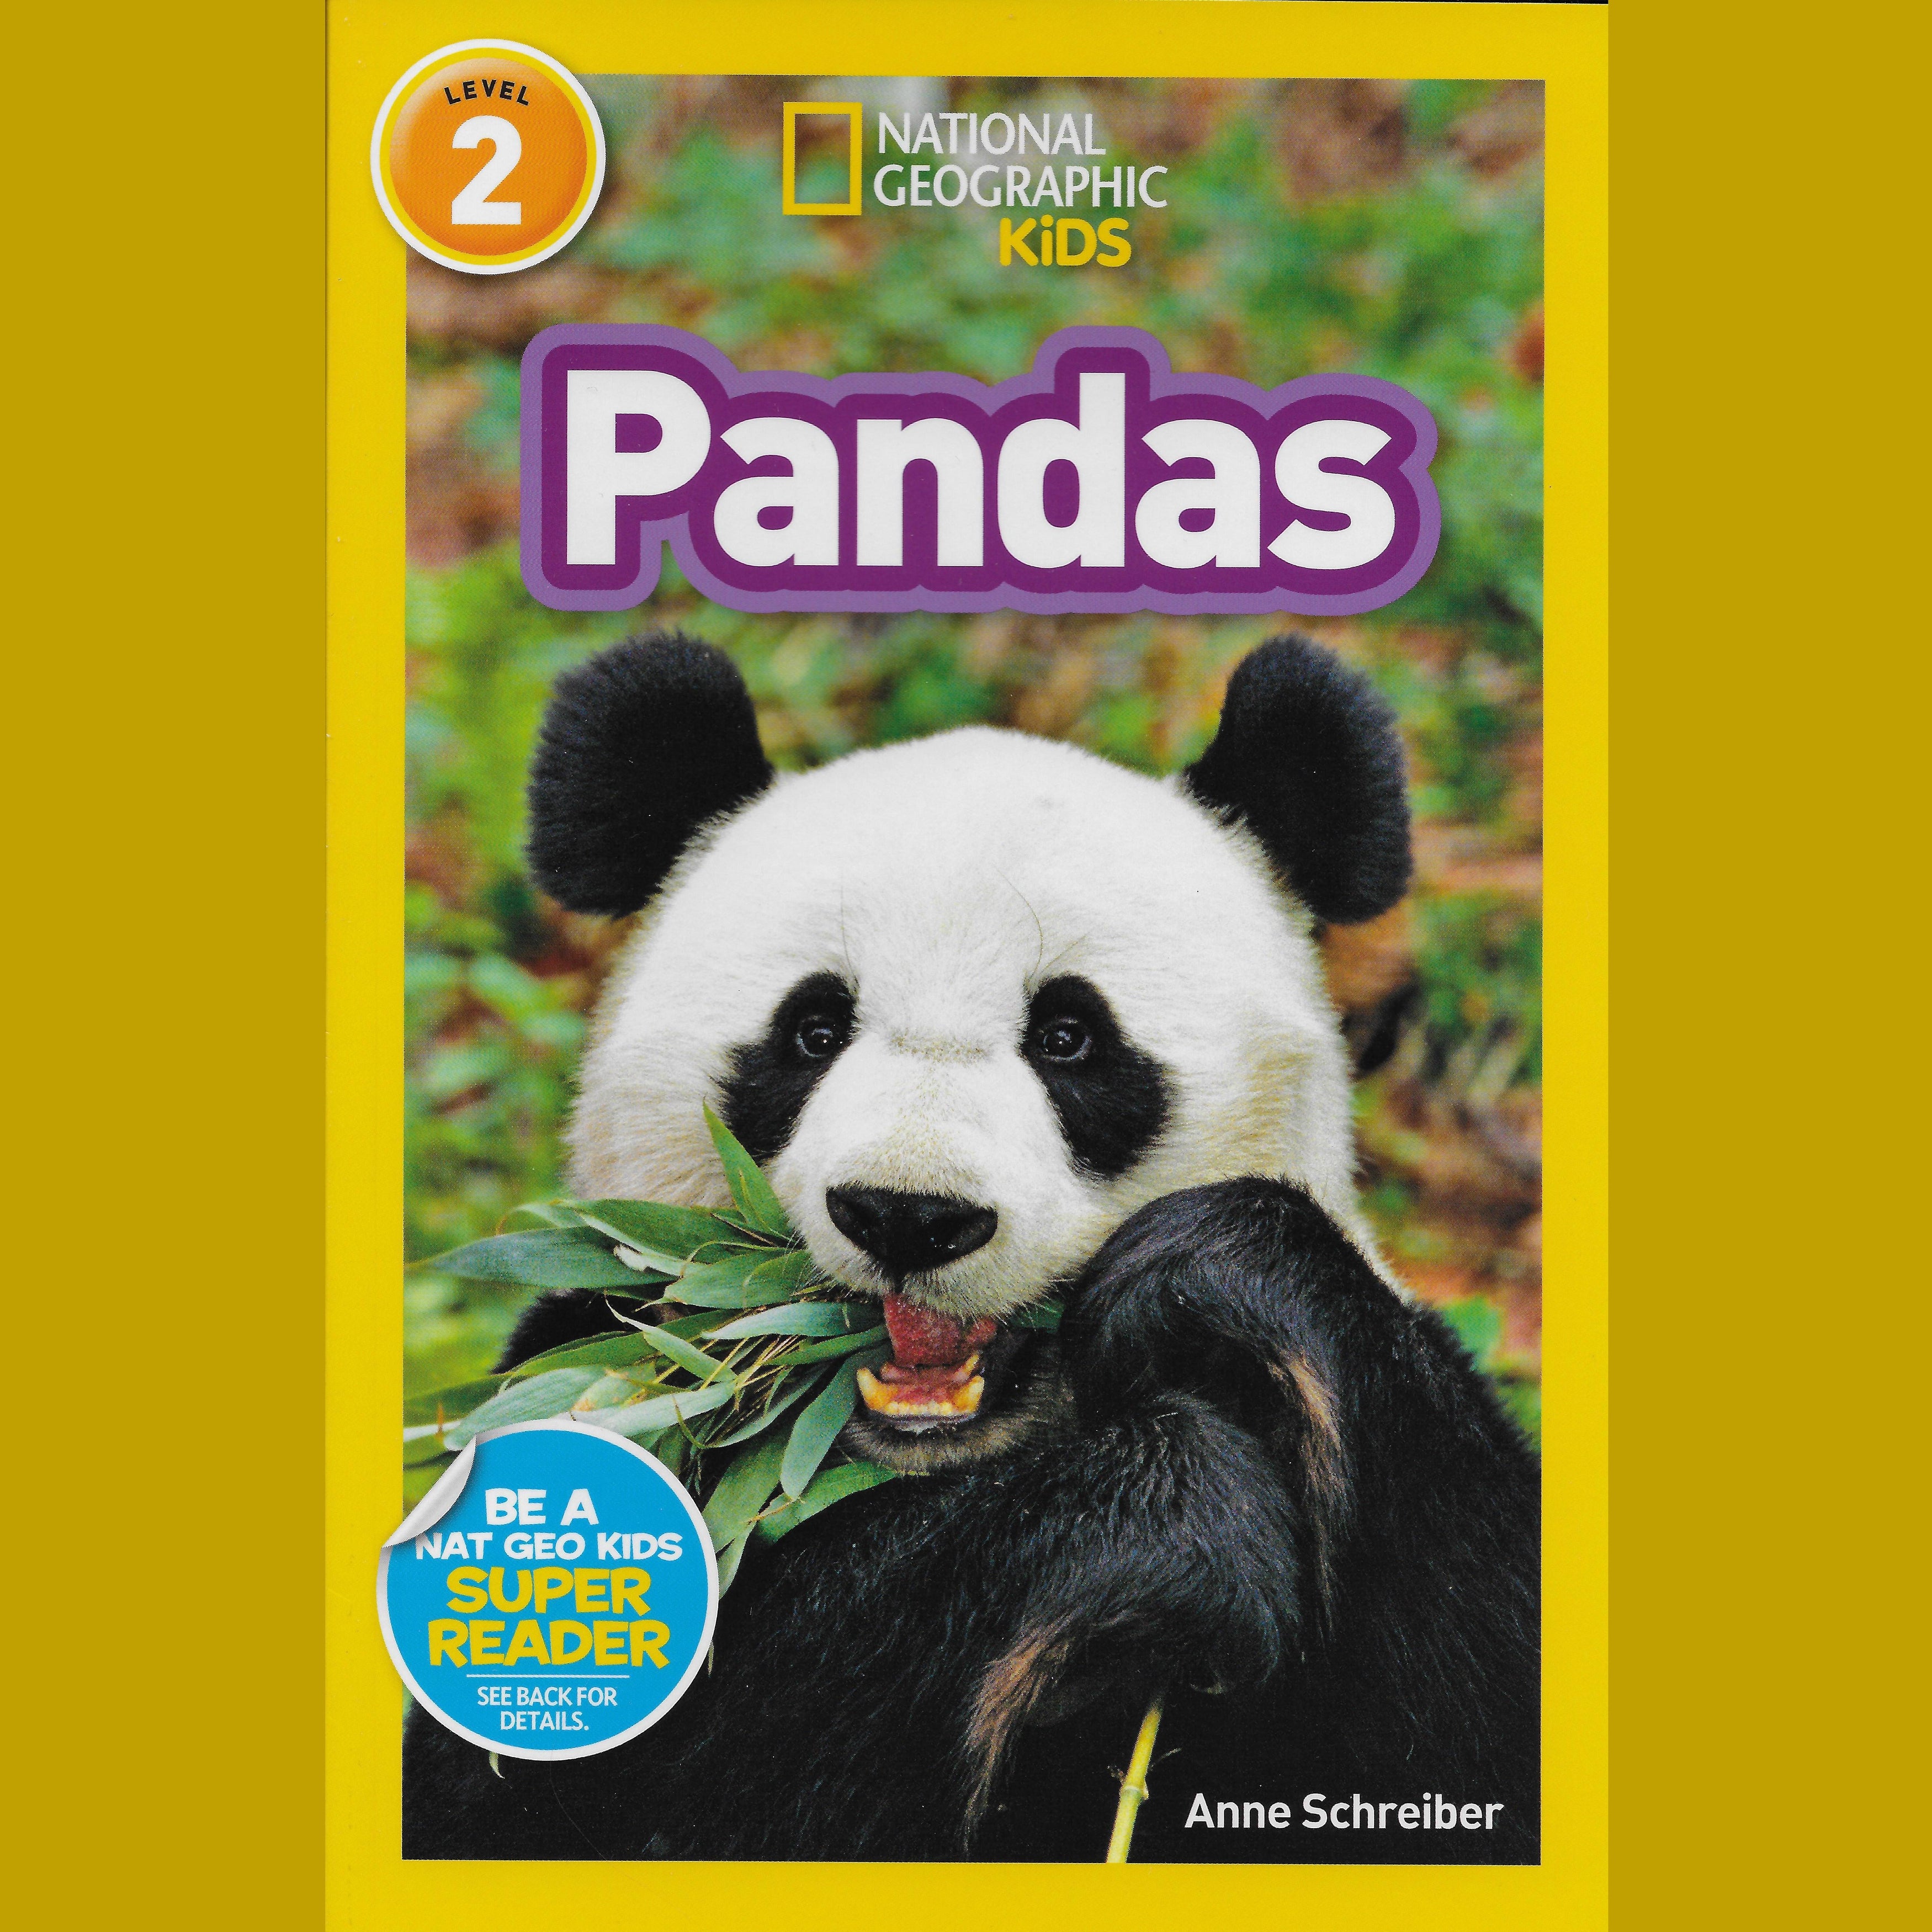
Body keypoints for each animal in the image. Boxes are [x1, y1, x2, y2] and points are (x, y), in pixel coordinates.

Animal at [403, 630, 1540, 1864]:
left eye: (1070, 1037)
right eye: (813, 1030)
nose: (908, 1213)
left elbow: (1473, 1728)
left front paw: (1214, 1281)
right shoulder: (599, 1377)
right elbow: (581, 1775)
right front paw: (1168, 1516)